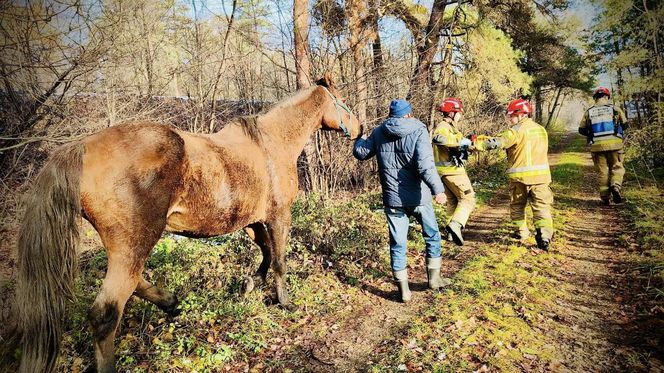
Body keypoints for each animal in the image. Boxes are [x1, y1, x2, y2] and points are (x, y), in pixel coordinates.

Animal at [14, 73, 358, 372]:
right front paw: (284, 301)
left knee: (133, 284)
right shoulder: (279, 216)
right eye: (343, 101)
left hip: (126, 247)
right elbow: (279, 260)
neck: (270, 144)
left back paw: (171, 302)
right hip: (136, 242)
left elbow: (265, 252)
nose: (360, 127)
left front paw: (249, 284)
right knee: (105, 312)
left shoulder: (253, 221)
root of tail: (81, 147)